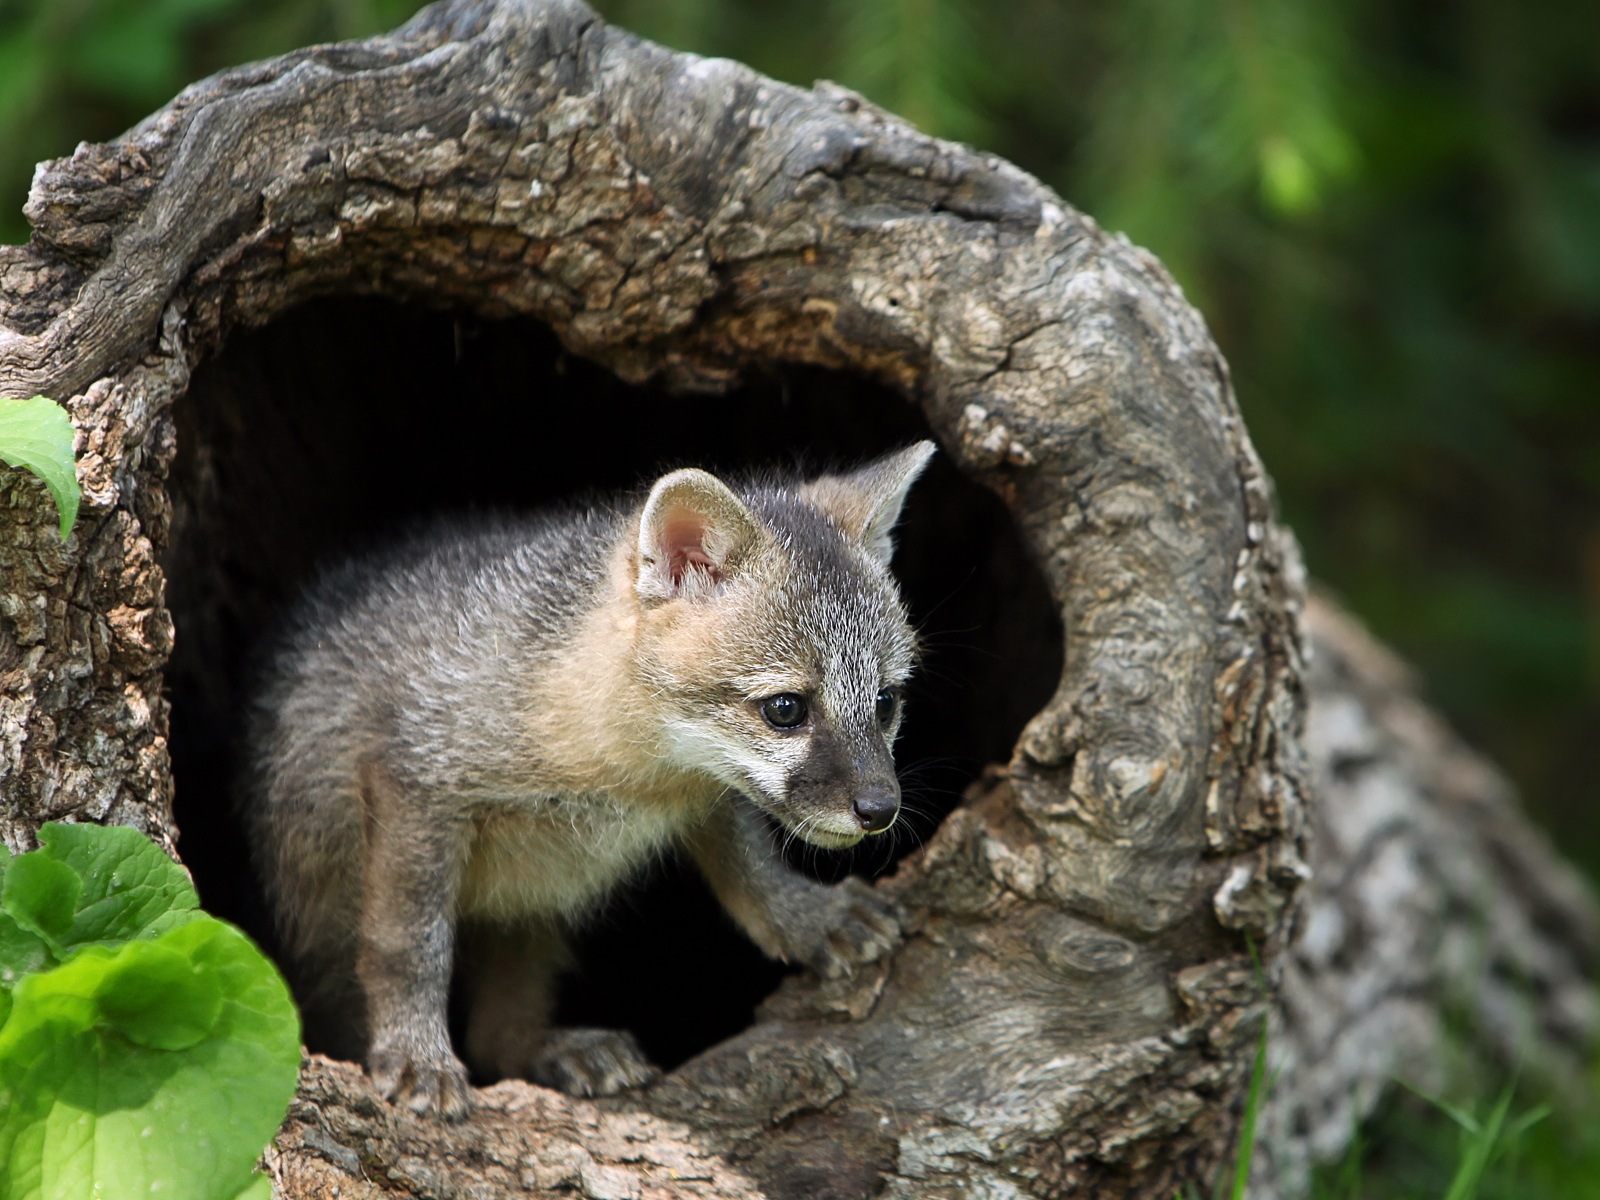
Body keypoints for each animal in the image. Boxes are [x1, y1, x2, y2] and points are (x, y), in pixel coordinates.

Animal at [241, 441, 934, 1120]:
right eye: (786, 709)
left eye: (886, 703)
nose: (881, 808)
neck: (627, 779)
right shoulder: (415, 783)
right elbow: (409, 947)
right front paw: (415, 1054)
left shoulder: (704, 795)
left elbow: (752, 870)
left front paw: (807, 917)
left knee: (498, 1037)